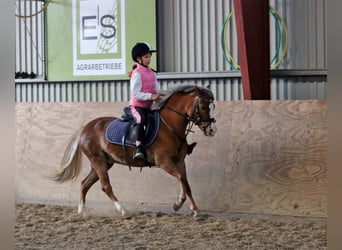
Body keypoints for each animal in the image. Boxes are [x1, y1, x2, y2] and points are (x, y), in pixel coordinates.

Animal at [50, 85, 216, 218]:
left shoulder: (180, 161)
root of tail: (85, 128)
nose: (211, 130)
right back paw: (123, 211)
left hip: (104, 162)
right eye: (203, 106)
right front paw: (178, 203)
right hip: (98, 161)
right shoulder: (164, 162)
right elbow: (181, 178)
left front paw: (195, 210)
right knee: (105, 186)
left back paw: (81, 211)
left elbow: (186, 183)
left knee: (84, 184)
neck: (170, 126)